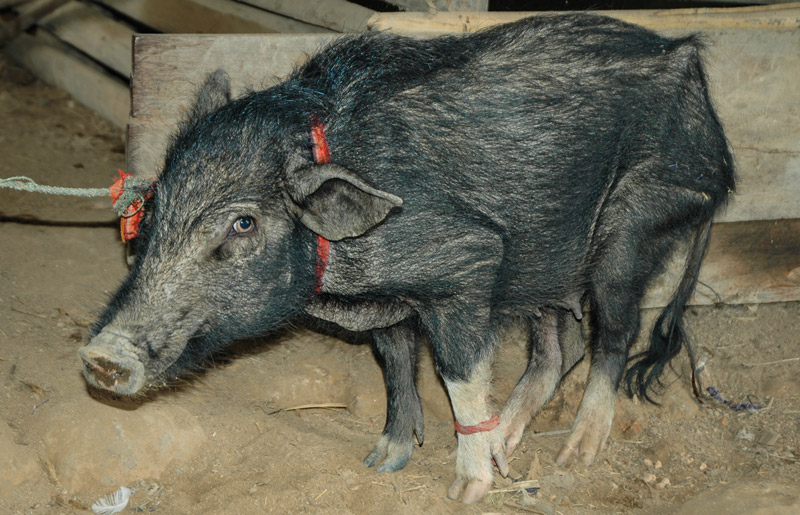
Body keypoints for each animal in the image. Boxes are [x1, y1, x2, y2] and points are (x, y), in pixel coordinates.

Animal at [79, 14, 734, 504]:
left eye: (243, 224)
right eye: (154, 205)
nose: (101, 356)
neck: (344, 280)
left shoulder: (470, 261)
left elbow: (460, 373)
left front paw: (466, 490)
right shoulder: (387, 302)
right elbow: (395, 362)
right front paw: (383, 460)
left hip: (639, 219)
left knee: (617, 333)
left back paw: (574, 455)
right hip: (545, 257)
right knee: (560, 345)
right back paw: (509, 445)